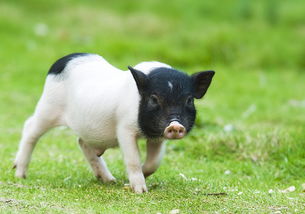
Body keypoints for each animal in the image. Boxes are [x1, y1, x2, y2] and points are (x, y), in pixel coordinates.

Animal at [13, 52, 214, 193]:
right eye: (154, 98)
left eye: (189, 100)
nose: (175, 125)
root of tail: (63, 60)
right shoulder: (124, 128)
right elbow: (133, 159)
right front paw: (140, 191)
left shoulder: (157, 136)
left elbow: (154, 162)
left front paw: (131, 179)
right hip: (48, 106)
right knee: (30, 127)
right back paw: (19, 174)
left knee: (82, 142)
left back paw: (110, 180)